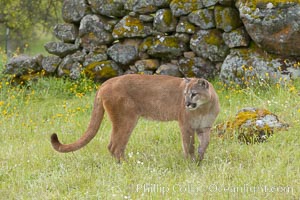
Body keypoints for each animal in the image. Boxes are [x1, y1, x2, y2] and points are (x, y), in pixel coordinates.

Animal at [51, 74, 220, 162]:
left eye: (194, 94)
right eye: (185, 94)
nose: (186, 103)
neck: (203, 108)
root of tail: (105, 83)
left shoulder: (205, 127)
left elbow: (205, 144)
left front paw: (200, 159)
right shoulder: (186, 126)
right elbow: (189, 145)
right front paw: (191, 162)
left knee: (115, 146)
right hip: (126, 119)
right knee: (114, 146)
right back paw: (127, 165)